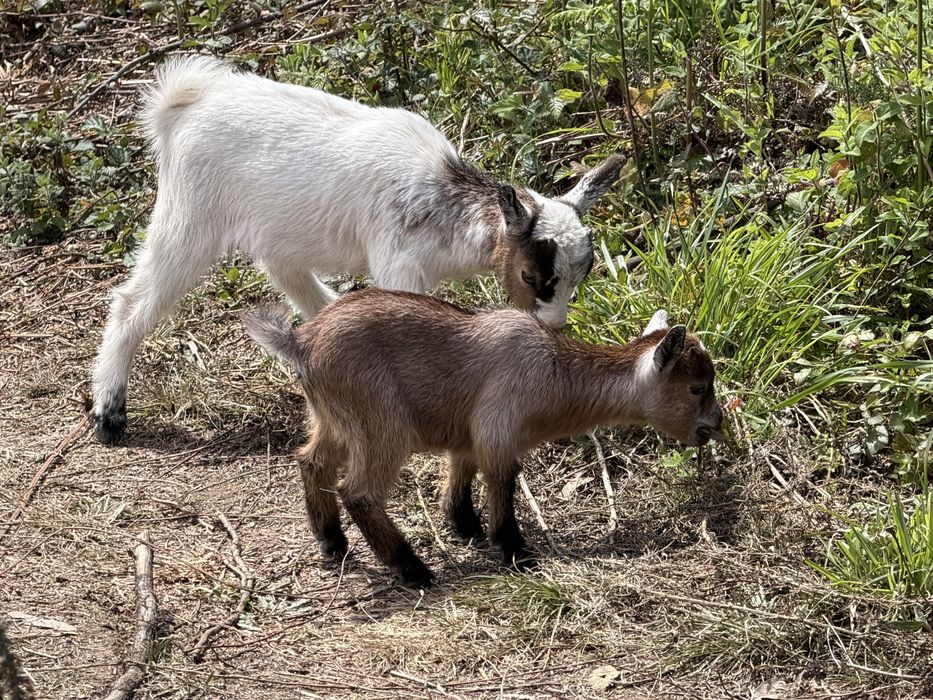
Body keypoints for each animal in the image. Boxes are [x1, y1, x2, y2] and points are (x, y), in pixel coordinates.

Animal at [90, 55, 624, 445]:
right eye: (532, 276)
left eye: (583, 274)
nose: (554, 328)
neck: (441, 198)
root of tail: (186, 102)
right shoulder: (400, 266)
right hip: (190, 215)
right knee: (133, 300)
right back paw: (109, 412)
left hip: (275, 226)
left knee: (291, 277)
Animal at [245, 289, 724, 586]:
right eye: (697, 388)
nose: (717, 423)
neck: (555, 373)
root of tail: (302, 342)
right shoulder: (498, 427)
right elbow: (503, 479)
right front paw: (514, 550)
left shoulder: (469, 434)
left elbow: (462, 470)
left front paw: (465, 525)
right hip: (381, 424)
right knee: (358, 490)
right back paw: (412, 569)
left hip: (334, 420)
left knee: (311, 460)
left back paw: (332, 542)